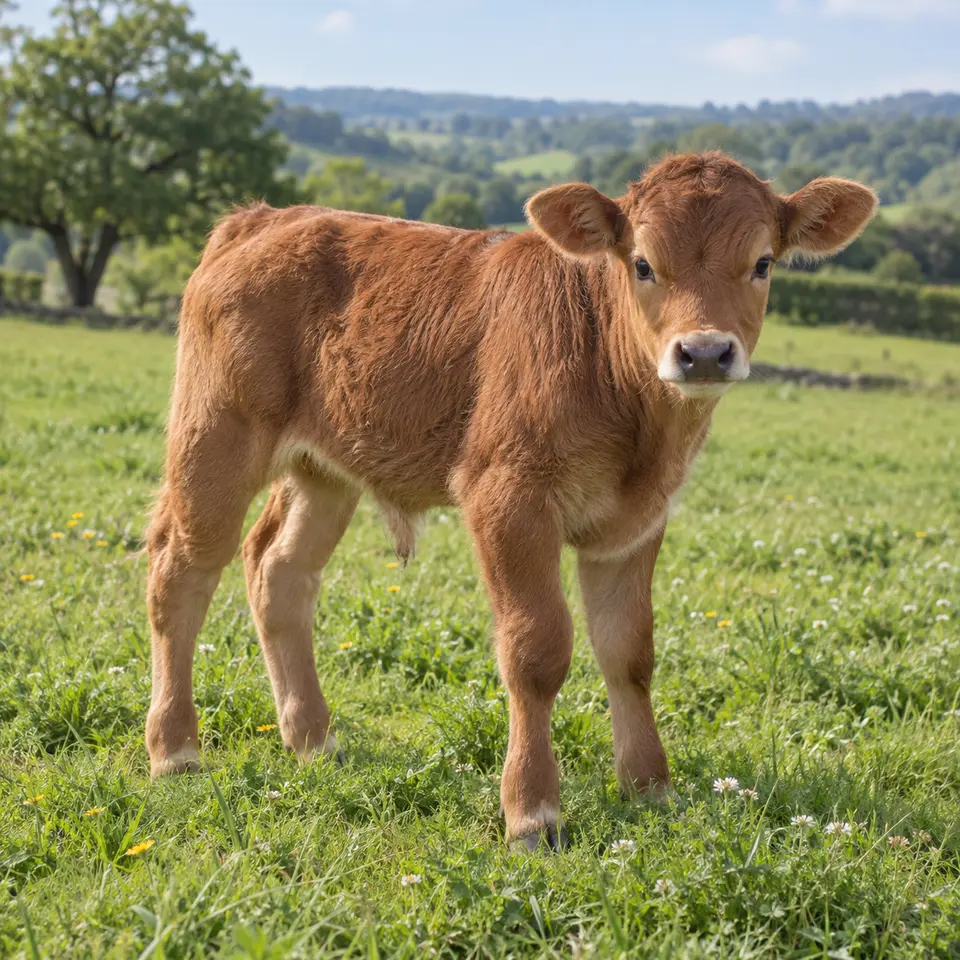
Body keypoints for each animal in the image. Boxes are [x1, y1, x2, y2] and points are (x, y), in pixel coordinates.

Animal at [145, 152, 876, 851]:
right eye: (643, 263)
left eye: (762, 262)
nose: (702, 353)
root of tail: (266, 217)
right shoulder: (508, 497)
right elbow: (537, 652)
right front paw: (532, 813)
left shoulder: (636, 523)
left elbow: (630, 651)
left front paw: (649, 788)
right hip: (215, 437)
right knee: (180, 574)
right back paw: (176, 750)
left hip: (324, 470)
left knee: (279, 570)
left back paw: (314, 741)